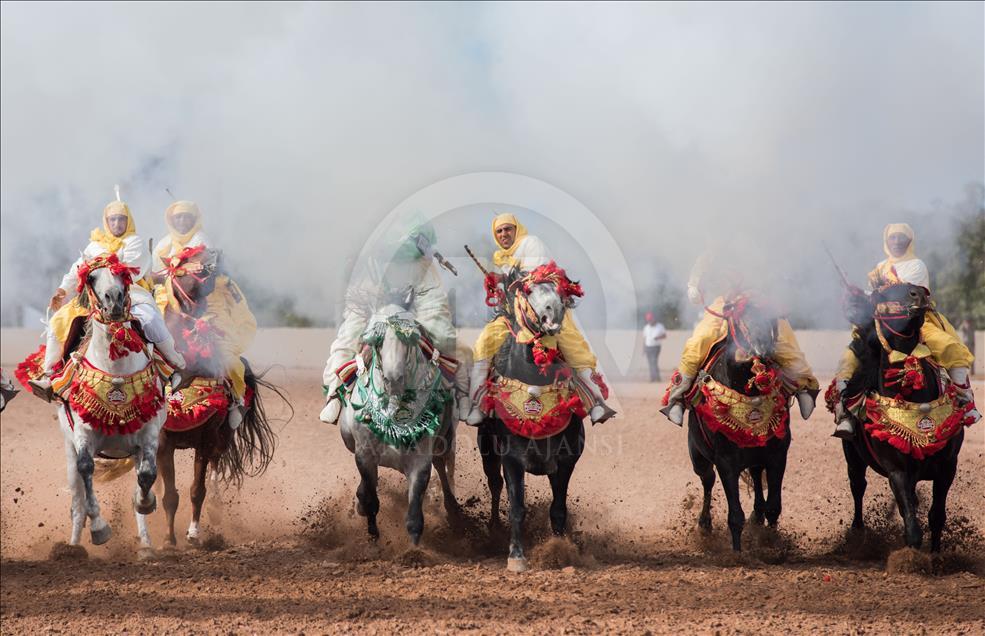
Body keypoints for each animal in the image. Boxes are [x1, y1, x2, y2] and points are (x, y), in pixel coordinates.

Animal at [156, 248, 282, 548]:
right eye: (190, 263)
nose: (217, 253)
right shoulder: (164, 442)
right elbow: (170, 494)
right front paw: (168, 539)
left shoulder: (205, 439)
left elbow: (196, 490)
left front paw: (192, 533)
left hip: (222, 437)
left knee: (215, 467)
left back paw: (215, 508)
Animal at [338, 286, 462, 544]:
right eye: (375, 339)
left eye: (410, 337)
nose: (393, 378)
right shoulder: (364, 455)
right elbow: (370, 498)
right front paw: (372, 533)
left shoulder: (420, 460)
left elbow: (414, 515)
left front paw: (414, 548)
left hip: (444, 442)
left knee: (443, 469)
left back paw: (454, 513)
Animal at [476, 264, 592, 572]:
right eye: (528, 291)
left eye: (561, 292)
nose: (553, 315)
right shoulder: (511, 458)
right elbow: (517, 507)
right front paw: (516, 556)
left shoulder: (566, 459)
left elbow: (558, 509)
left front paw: (559, 551)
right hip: (487, 451)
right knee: (495, 486)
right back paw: (493, 529)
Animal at [672, 298, 812, 552]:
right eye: (738, 319)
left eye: (771, 319)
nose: (758, 351)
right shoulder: (726, 461)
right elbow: (735, 515)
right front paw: (737, 553)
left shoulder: (778, 454)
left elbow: (774, 507)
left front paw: (771, 543)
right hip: (698, 456)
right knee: (707, 480)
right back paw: (704, 524)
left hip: (755, 456)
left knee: (756, 477)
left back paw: (756, 517)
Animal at [832, 284, 976, 552]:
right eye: (883, 293)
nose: (919, 293)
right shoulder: (896, 470)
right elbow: (910, 522)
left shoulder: (947, 466)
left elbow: (936, 515)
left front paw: (936, 554)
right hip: (853, 457)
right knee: (858, 487)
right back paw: (857, 533)